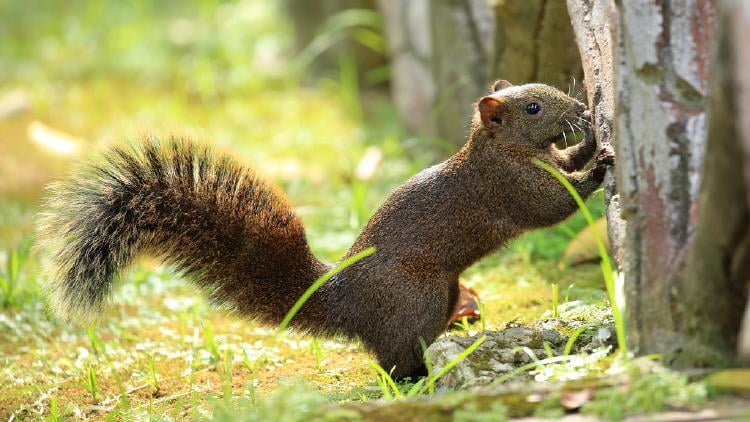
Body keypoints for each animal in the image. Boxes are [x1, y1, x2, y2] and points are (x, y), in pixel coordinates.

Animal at [36, 80, 616, 380]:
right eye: (534, 106)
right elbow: (556, 202)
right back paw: (421, 377)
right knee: (394, 360)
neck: (502, 149)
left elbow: (565, 166)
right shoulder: (510, 188)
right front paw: (599, 165)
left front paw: (590, 141)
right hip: (419, 298)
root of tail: (344, 299)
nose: (580, 108)